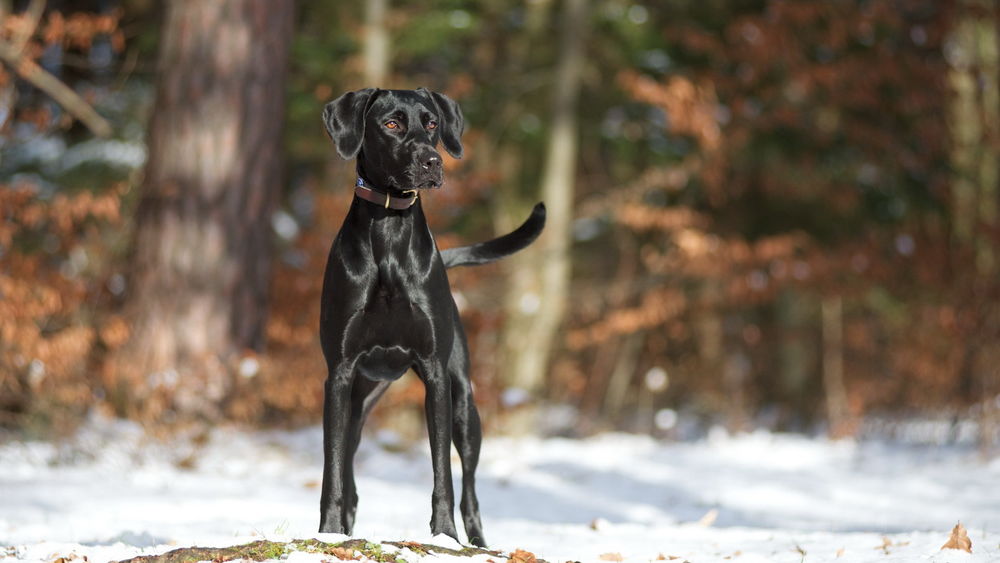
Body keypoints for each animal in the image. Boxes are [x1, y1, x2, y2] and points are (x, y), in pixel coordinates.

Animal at [316, 89, 544, 548]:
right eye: (391, 124)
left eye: (432, 123)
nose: (432, 162)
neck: (389, 228)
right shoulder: (340, 374)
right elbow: (332, 473)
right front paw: (328, 535)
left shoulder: (437, 374)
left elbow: (444, 473)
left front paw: (443, 536)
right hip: (358, 405)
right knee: (348, 470)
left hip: (465, 407)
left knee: (470, 487)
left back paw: (478, 543)